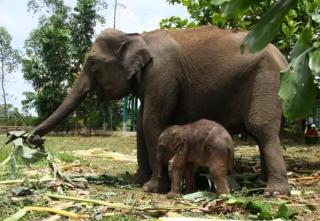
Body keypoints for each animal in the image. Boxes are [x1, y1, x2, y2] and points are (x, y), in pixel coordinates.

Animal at [30, 25, 290, 196]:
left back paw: (274, 193)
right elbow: (140, 126)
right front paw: (137, 181)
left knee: (261, 128)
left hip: (267, 79)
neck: (136, 35)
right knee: (262, 134)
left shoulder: (161, 74)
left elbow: (151, 121)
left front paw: (153, 188)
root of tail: (284, 59)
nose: (34, 140)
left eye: (92, 63)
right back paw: (261, 183)